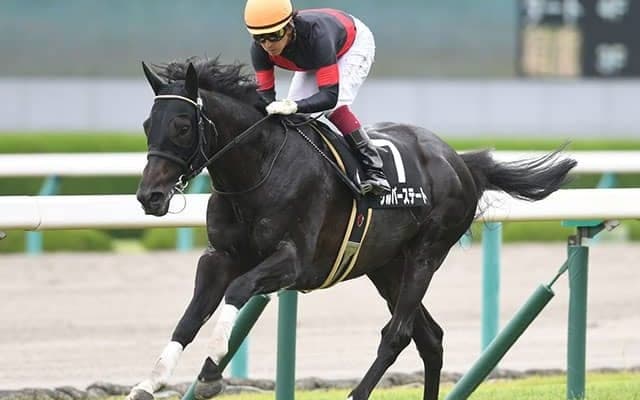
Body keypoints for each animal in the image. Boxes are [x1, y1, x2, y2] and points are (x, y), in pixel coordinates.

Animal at [129, 57, 576, 400]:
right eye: (148, 124)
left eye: (182, 125)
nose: (150, 196)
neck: (258, 170)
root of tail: (460, 162)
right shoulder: (219, 257)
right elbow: (189, 317)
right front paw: (150, 382)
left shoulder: (293, 262)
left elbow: (238, 291)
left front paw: (210, 371)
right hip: (385, 266)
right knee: (429, 337)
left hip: (425, 255)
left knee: (398, 333)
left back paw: (357, 392)